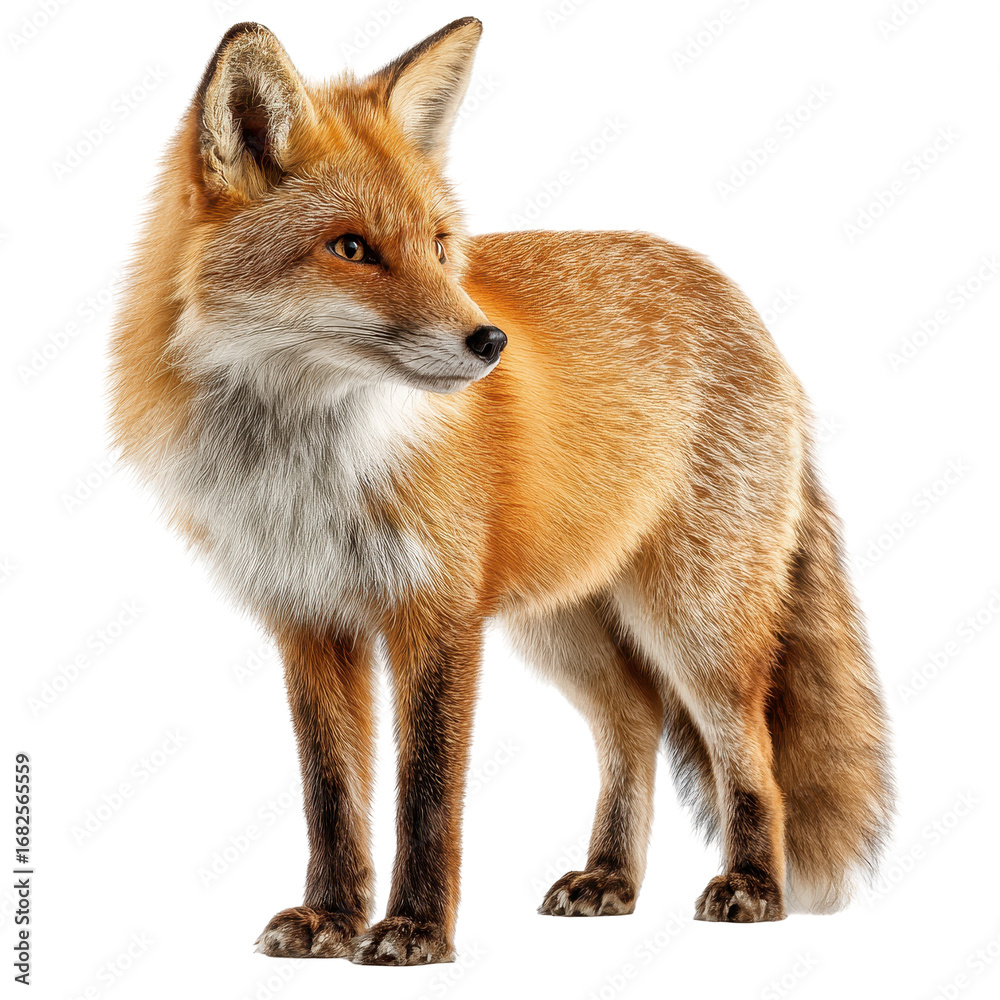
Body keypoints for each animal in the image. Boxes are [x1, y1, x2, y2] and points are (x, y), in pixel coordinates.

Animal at [108, 17, 894, 965]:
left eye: (442, 246)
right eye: (350, 248)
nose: (490, 343)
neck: (306, 469)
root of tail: (741, 304)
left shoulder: (438, 614)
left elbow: (426, 796)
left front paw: (414, 930)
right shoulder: (309, 620)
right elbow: (331, 795)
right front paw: (331, 919)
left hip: (694, 621)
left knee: (753, 753)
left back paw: (752, 885)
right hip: (562, 626)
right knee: (633, 725)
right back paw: (611, 878)